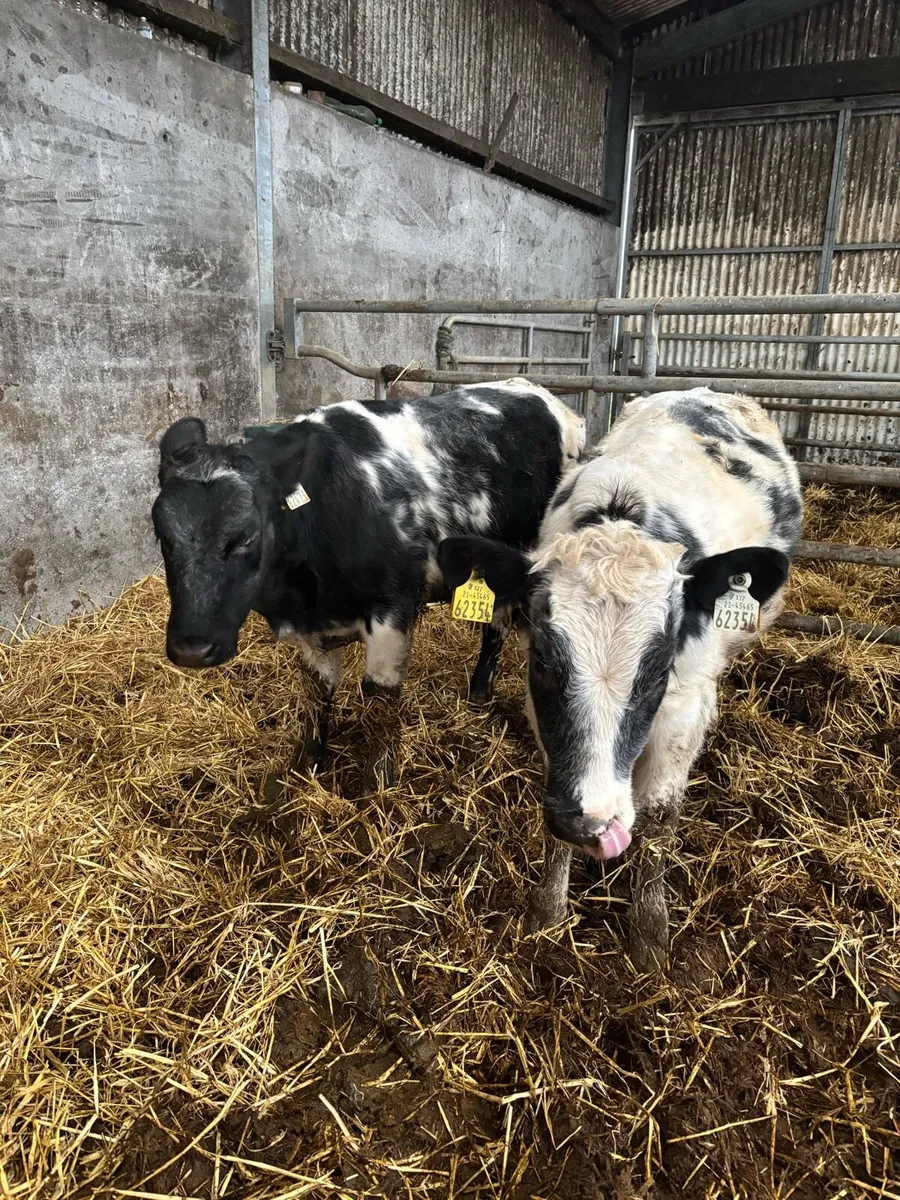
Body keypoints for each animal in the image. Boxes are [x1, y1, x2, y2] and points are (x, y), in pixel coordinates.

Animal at [151, 379, 585, 790]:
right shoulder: (312, 628)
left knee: (497, 626)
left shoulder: (393, 610)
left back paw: (479, 692)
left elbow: (379, 697)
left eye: (246, 537)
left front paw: (377, 785)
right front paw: (306, 767)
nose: (192, 648)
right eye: (161, 535)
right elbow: (315, 694)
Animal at [438, 387, 802, 970]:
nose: (595, 821)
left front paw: (650, 932)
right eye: (543, 660)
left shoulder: (682, 707)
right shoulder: (545, 713)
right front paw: (548, 912)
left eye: (658, 670)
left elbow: (658, 815)